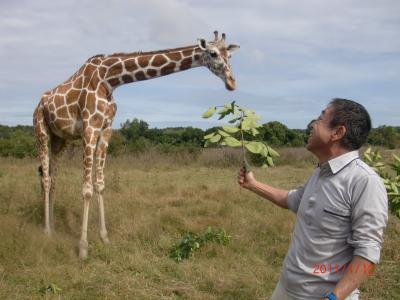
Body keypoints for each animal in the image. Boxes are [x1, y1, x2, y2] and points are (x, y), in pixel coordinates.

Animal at [32, 31, 239, 258]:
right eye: (213, 53)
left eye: (230, 55)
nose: (232, 83)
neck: (110, 79)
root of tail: (40, 103)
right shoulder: (90, 128)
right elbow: (86, 189)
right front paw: (83, 248)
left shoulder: (106, 130)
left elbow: (100, 185)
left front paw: (105, 238)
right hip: (42, 132)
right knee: (46, 179)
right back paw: (47, 231)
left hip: (61, 140)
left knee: (53, 178)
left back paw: (53, 226)